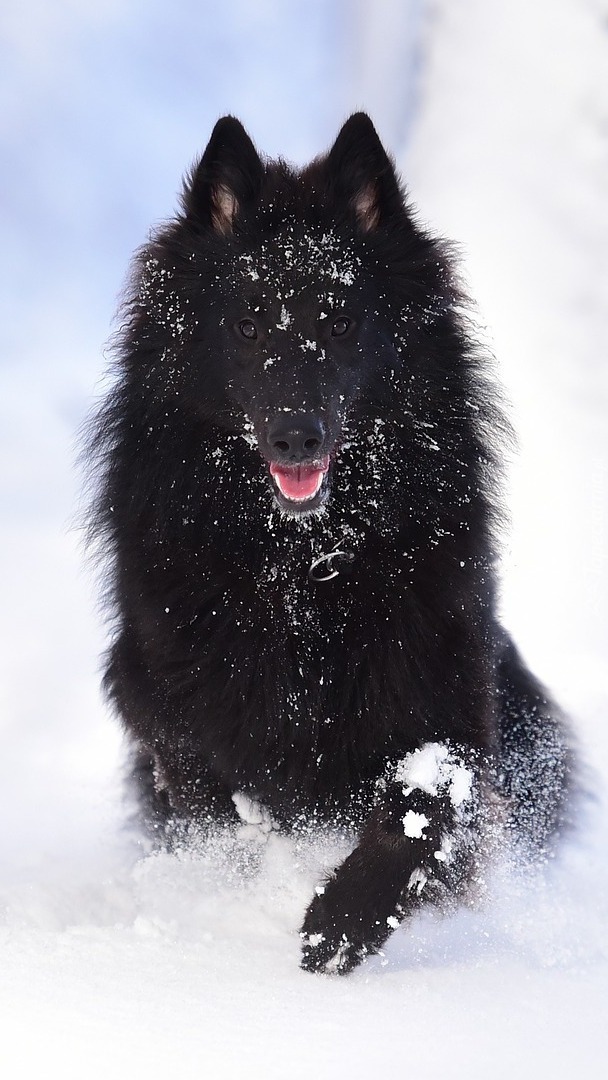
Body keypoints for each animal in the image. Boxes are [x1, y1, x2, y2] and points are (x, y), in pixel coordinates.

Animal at [88, 113, 574, 976]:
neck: (301, 567)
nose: (296, 436)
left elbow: (418, 809)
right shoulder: (156, 688)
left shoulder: (447, 696)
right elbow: (208, 796)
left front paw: (343, 922)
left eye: (341, 321)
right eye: (248, 323)